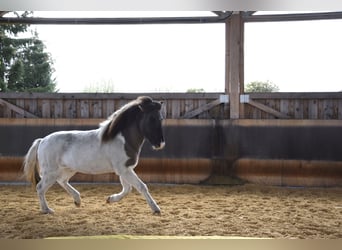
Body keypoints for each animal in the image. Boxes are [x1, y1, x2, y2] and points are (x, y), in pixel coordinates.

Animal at [23, 96, 165, 214]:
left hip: (68, 169)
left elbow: (127, 189)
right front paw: (156, 209)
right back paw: (47, 210)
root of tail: (42, 140)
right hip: (51, 172)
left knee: (62, 181)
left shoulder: (125, 169)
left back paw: (77, 201)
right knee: (40, 187)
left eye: (161, 119)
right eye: (152, 118)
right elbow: (141, 187)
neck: (122, 140)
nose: (160, 144)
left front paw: (110, 199)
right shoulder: (124, 170)